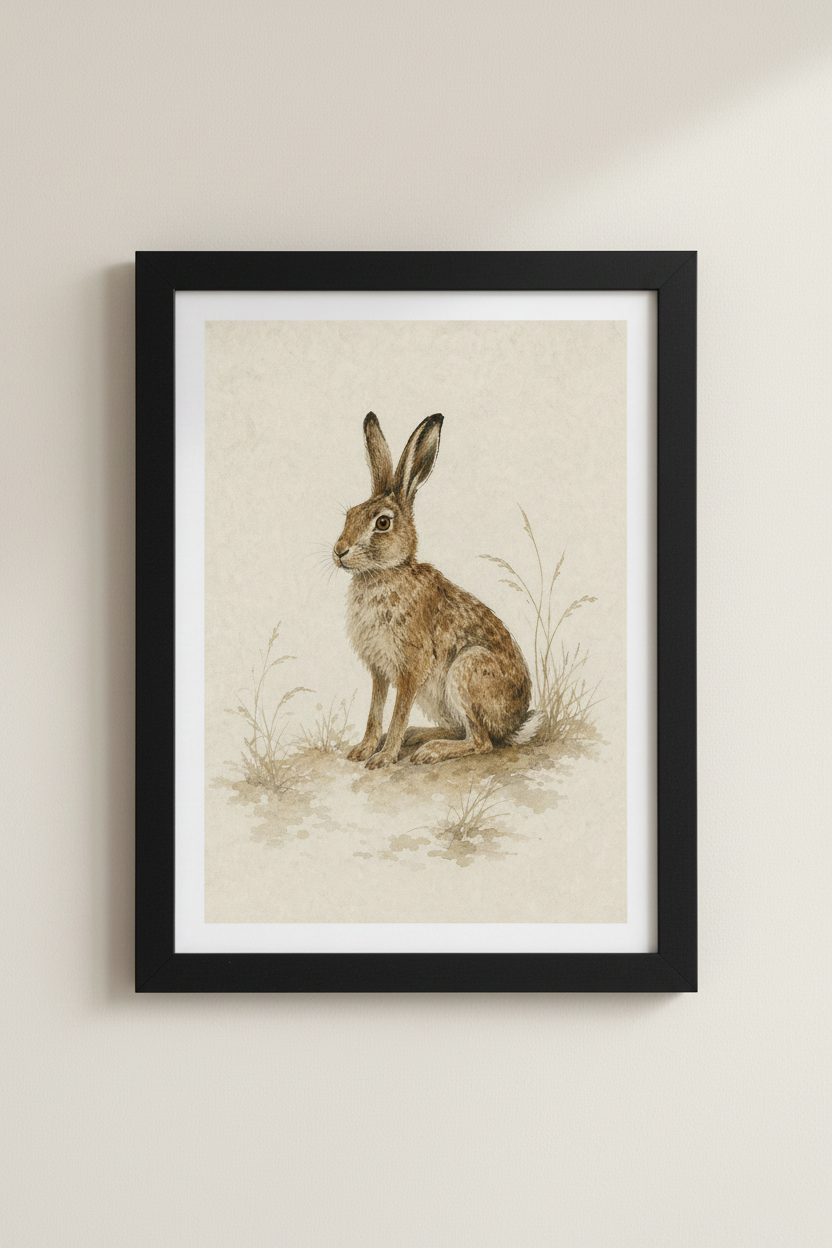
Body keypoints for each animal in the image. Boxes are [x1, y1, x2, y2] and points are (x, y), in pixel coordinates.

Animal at [332, 412, 544, 769]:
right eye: (349, 515)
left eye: (382, 523)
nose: (339, 551)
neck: (385, 573)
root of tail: (515, 723)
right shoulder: (379, 670)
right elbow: (376, 711)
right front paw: (364, 749)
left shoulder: (411, 668)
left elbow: (397, 713)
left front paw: (383, 758)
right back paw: (419, 737)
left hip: (465, 673)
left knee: (482, 742)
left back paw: (430, 751)